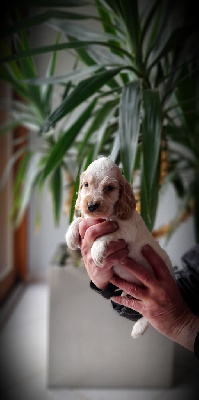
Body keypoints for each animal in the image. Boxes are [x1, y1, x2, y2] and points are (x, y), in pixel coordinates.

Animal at [65, 158, 173, 340]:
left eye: (109, 188)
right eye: (86, 185)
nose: (91, 205)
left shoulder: (127, 229)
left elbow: (108, 233)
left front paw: (97, 252)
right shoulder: (90, 220)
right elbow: (81, 220)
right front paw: (71, 235)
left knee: (151, 316)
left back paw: (138, 328)